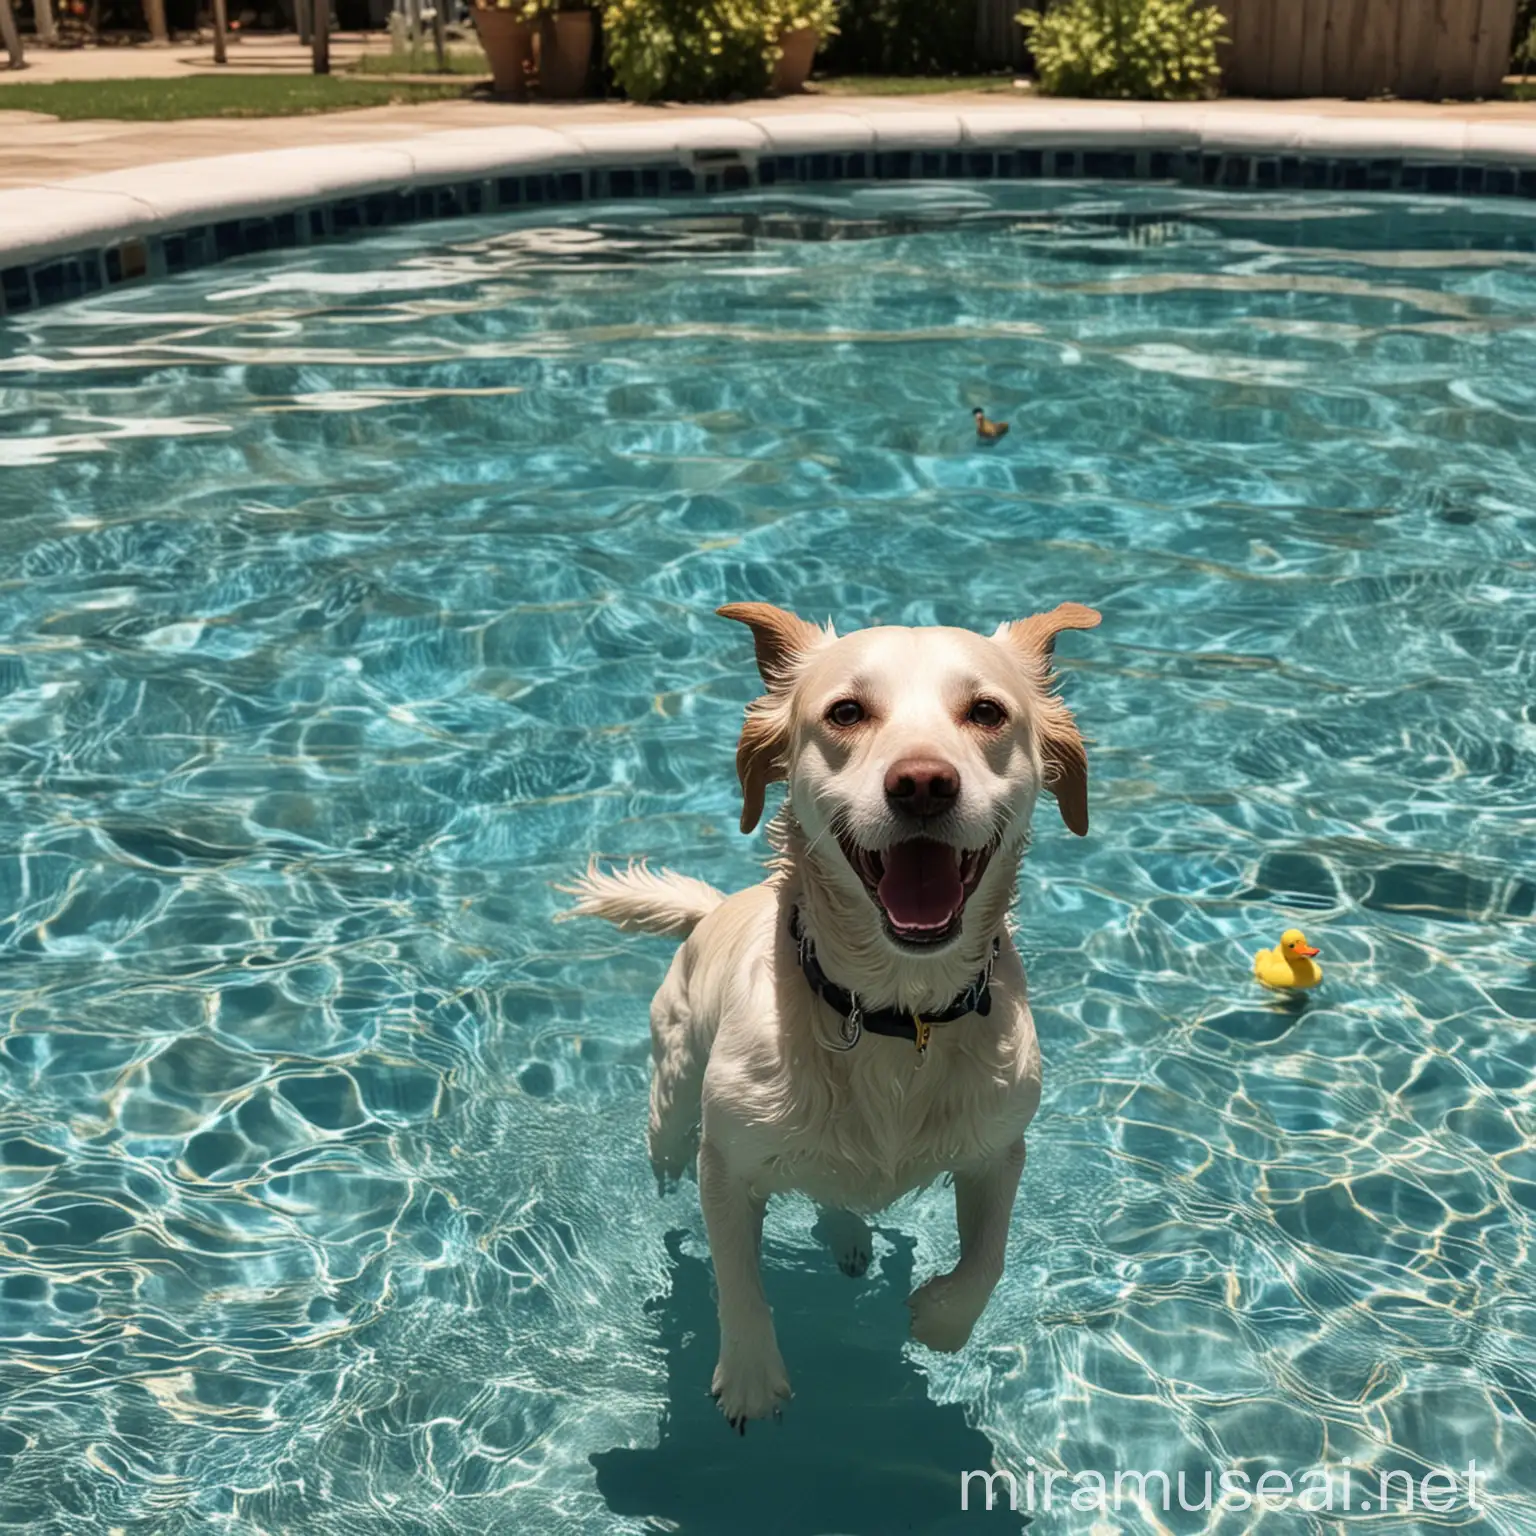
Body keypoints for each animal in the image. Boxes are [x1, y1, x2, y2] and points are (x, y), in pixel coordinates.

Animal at [559, 595, 1099, 1425]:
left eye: (986, 712)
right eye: (846, 712)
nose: (922, 784)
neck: (893, 1009)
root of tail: (714, 909)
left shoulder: (999, 1151)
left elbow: (990, 1257)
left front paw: (938, 1320)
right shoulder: (728, 1165)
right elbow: (737, 1279)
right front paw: (751, 1375)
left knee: (839, 1191)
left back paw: (849, 1239)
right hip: (673, 1097)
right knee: (672, 1145)